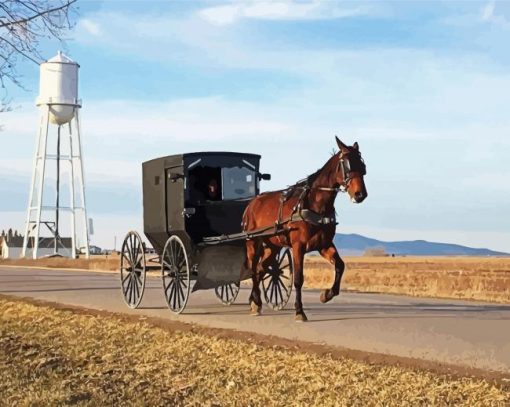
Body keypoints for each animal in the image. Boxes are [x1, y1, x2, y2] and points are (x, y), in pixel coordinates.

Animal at [242, 137, 366, 322]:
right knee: (253, 269)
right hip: (253, 243)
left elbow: (340, 266)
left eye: (362, 165)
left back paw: (254, 301)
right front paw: (300, 311)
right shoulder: (298, 246)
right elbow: (298, 279)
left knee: (259, 269)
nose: (360, 194)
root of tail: (252, 203)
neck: (315, 205)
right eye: (347, 164)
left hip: (273, 246)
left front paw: (327, 294)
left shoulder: (324, 245)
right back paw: (256, 301)